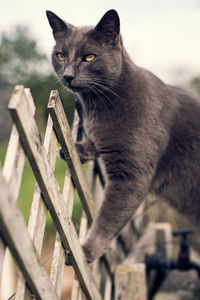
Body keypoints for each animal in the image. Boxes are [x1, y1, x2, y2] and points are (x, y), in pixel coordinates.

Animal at [46, 9, 200, 262]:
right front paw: (77, 148)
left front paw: (86, 249)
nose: (67, 75)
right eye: (60, 55)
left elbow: (109, 217)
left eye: (89, 57)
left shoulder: (130, 175)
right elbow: (97, 142)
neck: (98, 105)